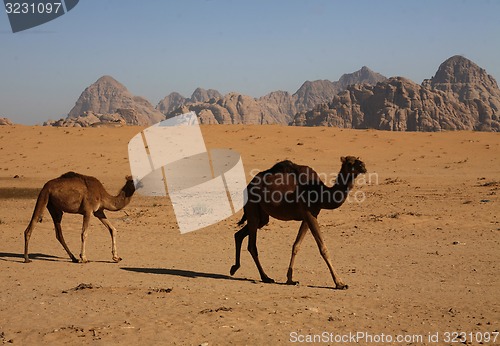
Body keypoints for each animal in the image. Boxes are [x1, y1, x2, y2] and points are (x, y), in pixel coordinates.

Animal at [230, 155, 368, 288]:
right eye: (350, 163)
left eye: (358, 159)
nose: (363, 166)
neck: (320, 193)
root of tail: (249, 185)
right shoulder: (309, 214)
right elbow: (323, 248)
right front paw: (340, 283)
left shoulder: (310, 216)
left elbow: (296, 245)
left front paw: (290, 279)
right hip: (252, 208)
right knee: (252, 245)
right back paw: (265, 277)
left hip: (262, 216)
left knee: (239, 234)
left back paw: (234, 268)